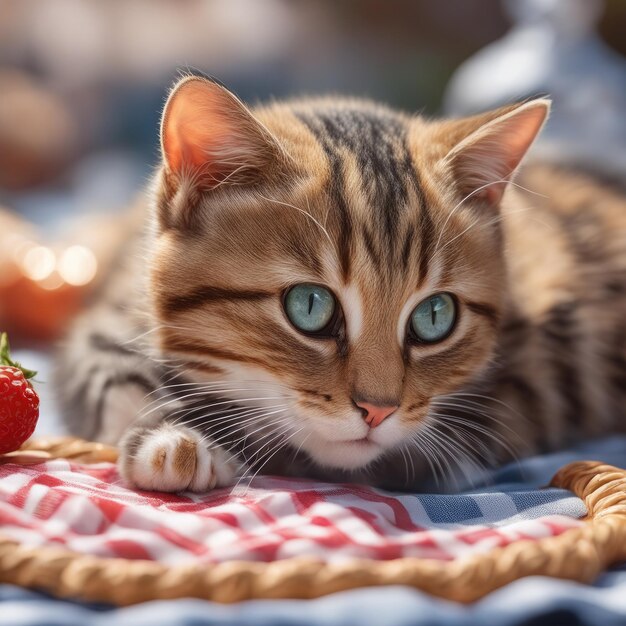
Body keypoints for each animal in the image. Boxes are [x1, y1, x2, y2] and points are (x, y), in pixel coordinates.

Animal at [54, 75, 624, 490]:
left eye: (435, 316)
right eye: (309, 306)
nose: (378, 410)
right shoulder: (109, 314)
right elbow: (114, 373)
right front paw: (175, 438)